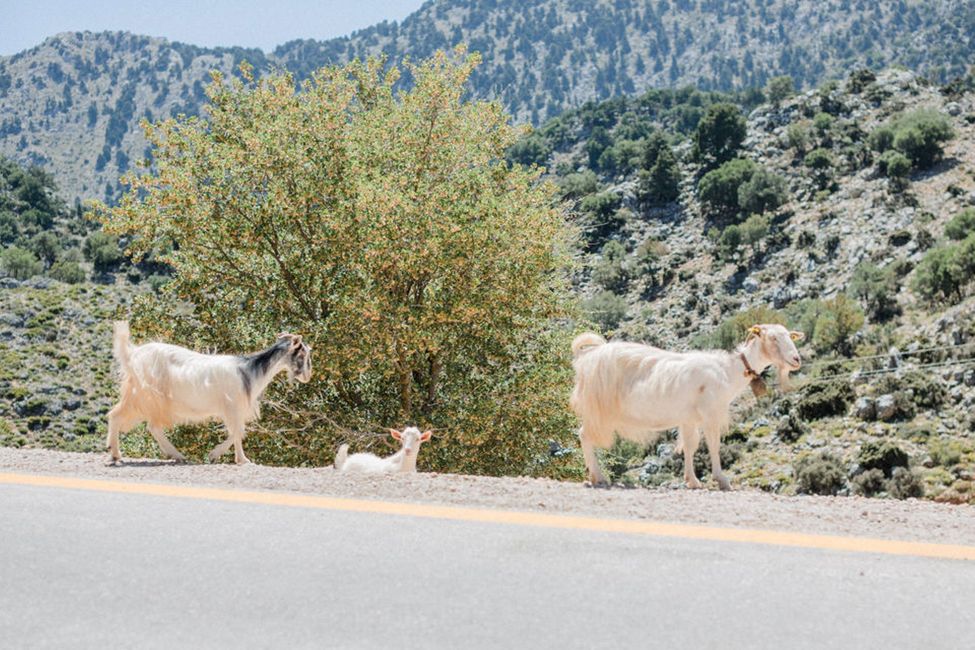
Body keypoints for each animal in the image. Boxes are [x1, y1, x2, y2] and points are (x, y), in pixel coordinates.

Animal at [107, 320, 312, 464]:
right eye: (302, 354)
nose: (308, 376)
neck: (249, 371)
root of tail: (132, 355)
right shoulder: (232, 406)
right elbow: (238, 431)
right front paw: (236, 458)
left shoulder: (234, 409)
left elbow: (237, 432)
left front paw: (228, 457)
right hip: (148, 397)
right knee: (138, 422)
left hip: (141, 397)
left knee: (126, 418)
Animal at [568, 322, 804, 488]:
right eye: (773, 337)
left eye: (790, 336)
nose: (796, 359)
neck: (727, 371)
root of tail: (588, 356)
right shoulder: (710, 413)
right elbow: (714, 445)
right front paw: (721, 480)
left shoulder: (689, 419)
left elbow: (690, 446)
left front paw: (692, 480)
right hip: (598, 409)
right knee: (584, 435)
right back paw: (598, 477)